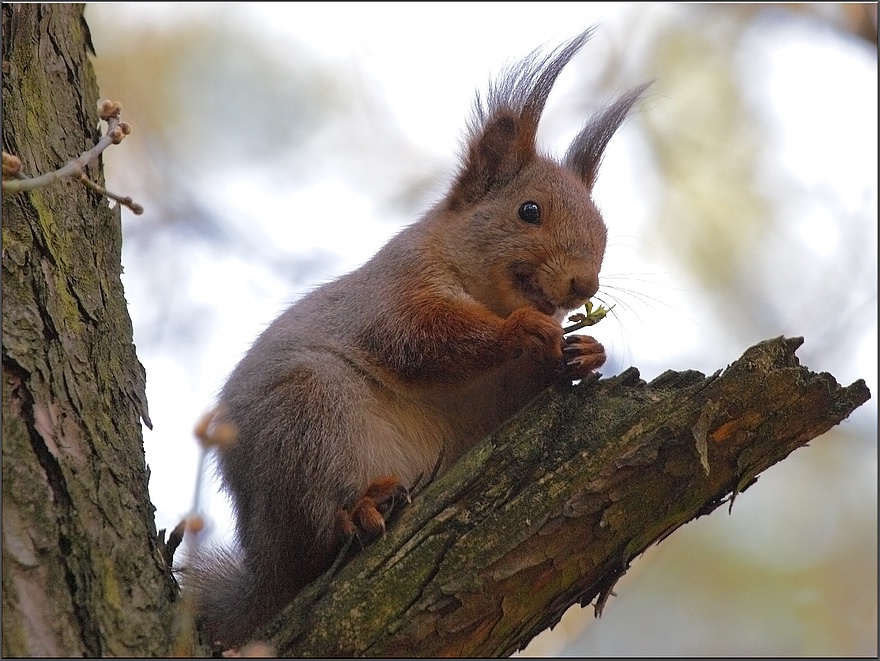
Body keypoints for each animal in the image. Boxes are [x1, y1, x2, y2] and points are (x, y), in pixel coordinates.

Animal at [186, 28, 648, 648]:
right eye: (528, 211)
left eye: (602, 228)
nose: (585, 284)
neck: (486, 290)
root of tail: (263, 567)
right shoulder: (395, 290)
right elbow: (422, 338)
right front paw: (522, 330)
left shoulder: (496, 401)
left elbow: (512, 400)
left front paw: (586, 353)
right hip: (306, 418)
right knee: (312, 539)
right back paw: (358, 511)